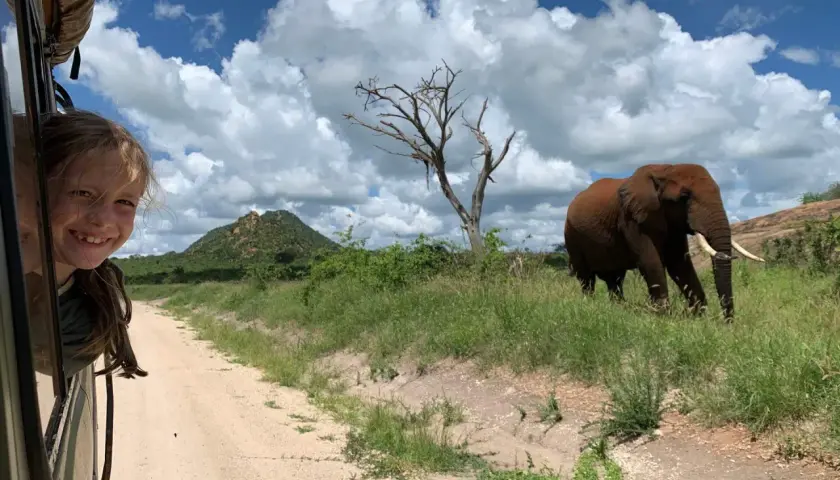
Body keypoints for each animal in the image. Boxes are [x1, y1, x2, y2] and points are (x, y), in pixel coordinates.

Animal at [563, 163, 764, 321]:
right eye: (684, 197)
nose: (727, 324)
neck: (665, 169)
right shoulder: (631, 219)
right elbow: (651, 261)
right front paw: (663, 316)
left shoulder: (672, 224)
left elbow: (679, 264)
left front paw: (696, 316)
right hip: (571, 237)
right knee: (586, 279)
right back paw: (591, 306)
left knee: (615, 280)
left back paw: (619, 309)